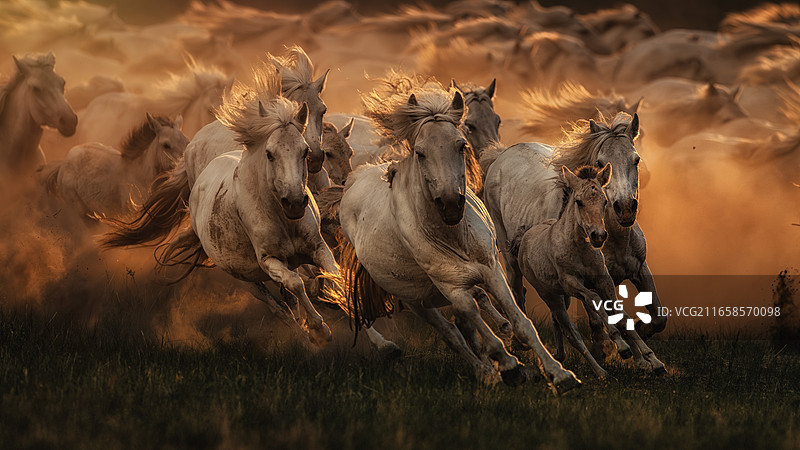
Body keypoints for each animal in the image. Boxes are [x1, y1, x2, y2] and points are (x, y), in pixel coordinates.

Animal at [103, 61, 341, 347]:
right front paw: (318, 323)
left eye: (322, 109)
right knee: (279, 304)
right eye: (269, 154)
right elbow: (301, 280)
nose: (316, 157)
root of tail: (192, 143)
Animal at [329, 72, 579, 392]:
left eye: (460, 145)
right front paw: (510, 365)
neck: (453, 236)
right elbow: (473, 322)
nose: (450, 204)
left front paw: (559, 373)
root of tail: (355, 179)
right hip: (415, 300)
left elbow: (521, 323)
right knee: (451, 333)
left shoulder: (492, 271)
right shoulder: (451, 287)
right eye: (420, 152)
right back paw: (487, 371)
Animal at [482, 112, 666, 341]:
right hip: (509, 257)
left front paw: (641, 328)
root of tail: (501, 155)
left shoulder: (640, 270)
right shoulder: (586, 282)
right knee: (517, 293)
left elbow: (659, 318)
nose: (624, 208)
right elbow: (600, 323)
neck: (614, 241)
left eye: (636, 159)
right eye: (599, 162)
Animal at [517, 164, 665, 376]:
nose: (598, 235)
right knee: (572, 333)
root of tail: (527, 235)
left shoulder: (603, 280)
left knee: (558, 322)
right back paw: (599, 372)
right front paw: (623, 347)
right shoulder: (572, 283)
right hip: (550, 294)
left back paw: (561, 355)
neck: (581, 250)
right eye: (578, 202)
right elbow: (594, 301)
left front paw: (653, 360)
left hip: (562, 296)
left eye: (604, 201)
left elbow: (621, 315)